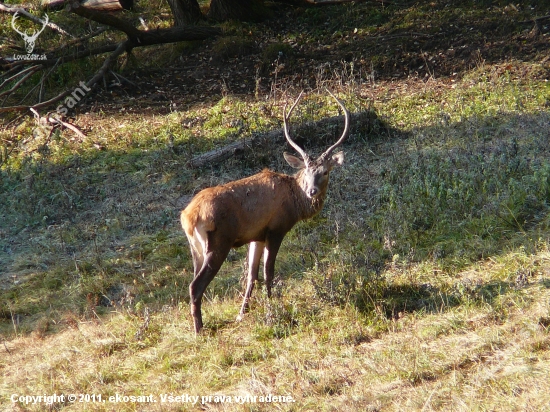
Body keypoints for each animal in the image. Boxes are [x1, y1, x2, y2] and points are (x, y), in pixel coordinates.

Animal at [183, 91, 352, 334]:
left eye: (325, 172)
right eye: (306, 171)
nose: (312, 191)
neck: (295, 203)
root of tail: (188, 217)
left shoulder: (257, 235)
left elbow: (251, 275)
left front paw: (242, 314)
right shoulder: (276, 228)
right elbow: (268, 272)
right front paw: (271, 308)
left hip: (195, 247)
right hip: (218, 241)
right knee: (195, 285)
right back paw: (200, 330)